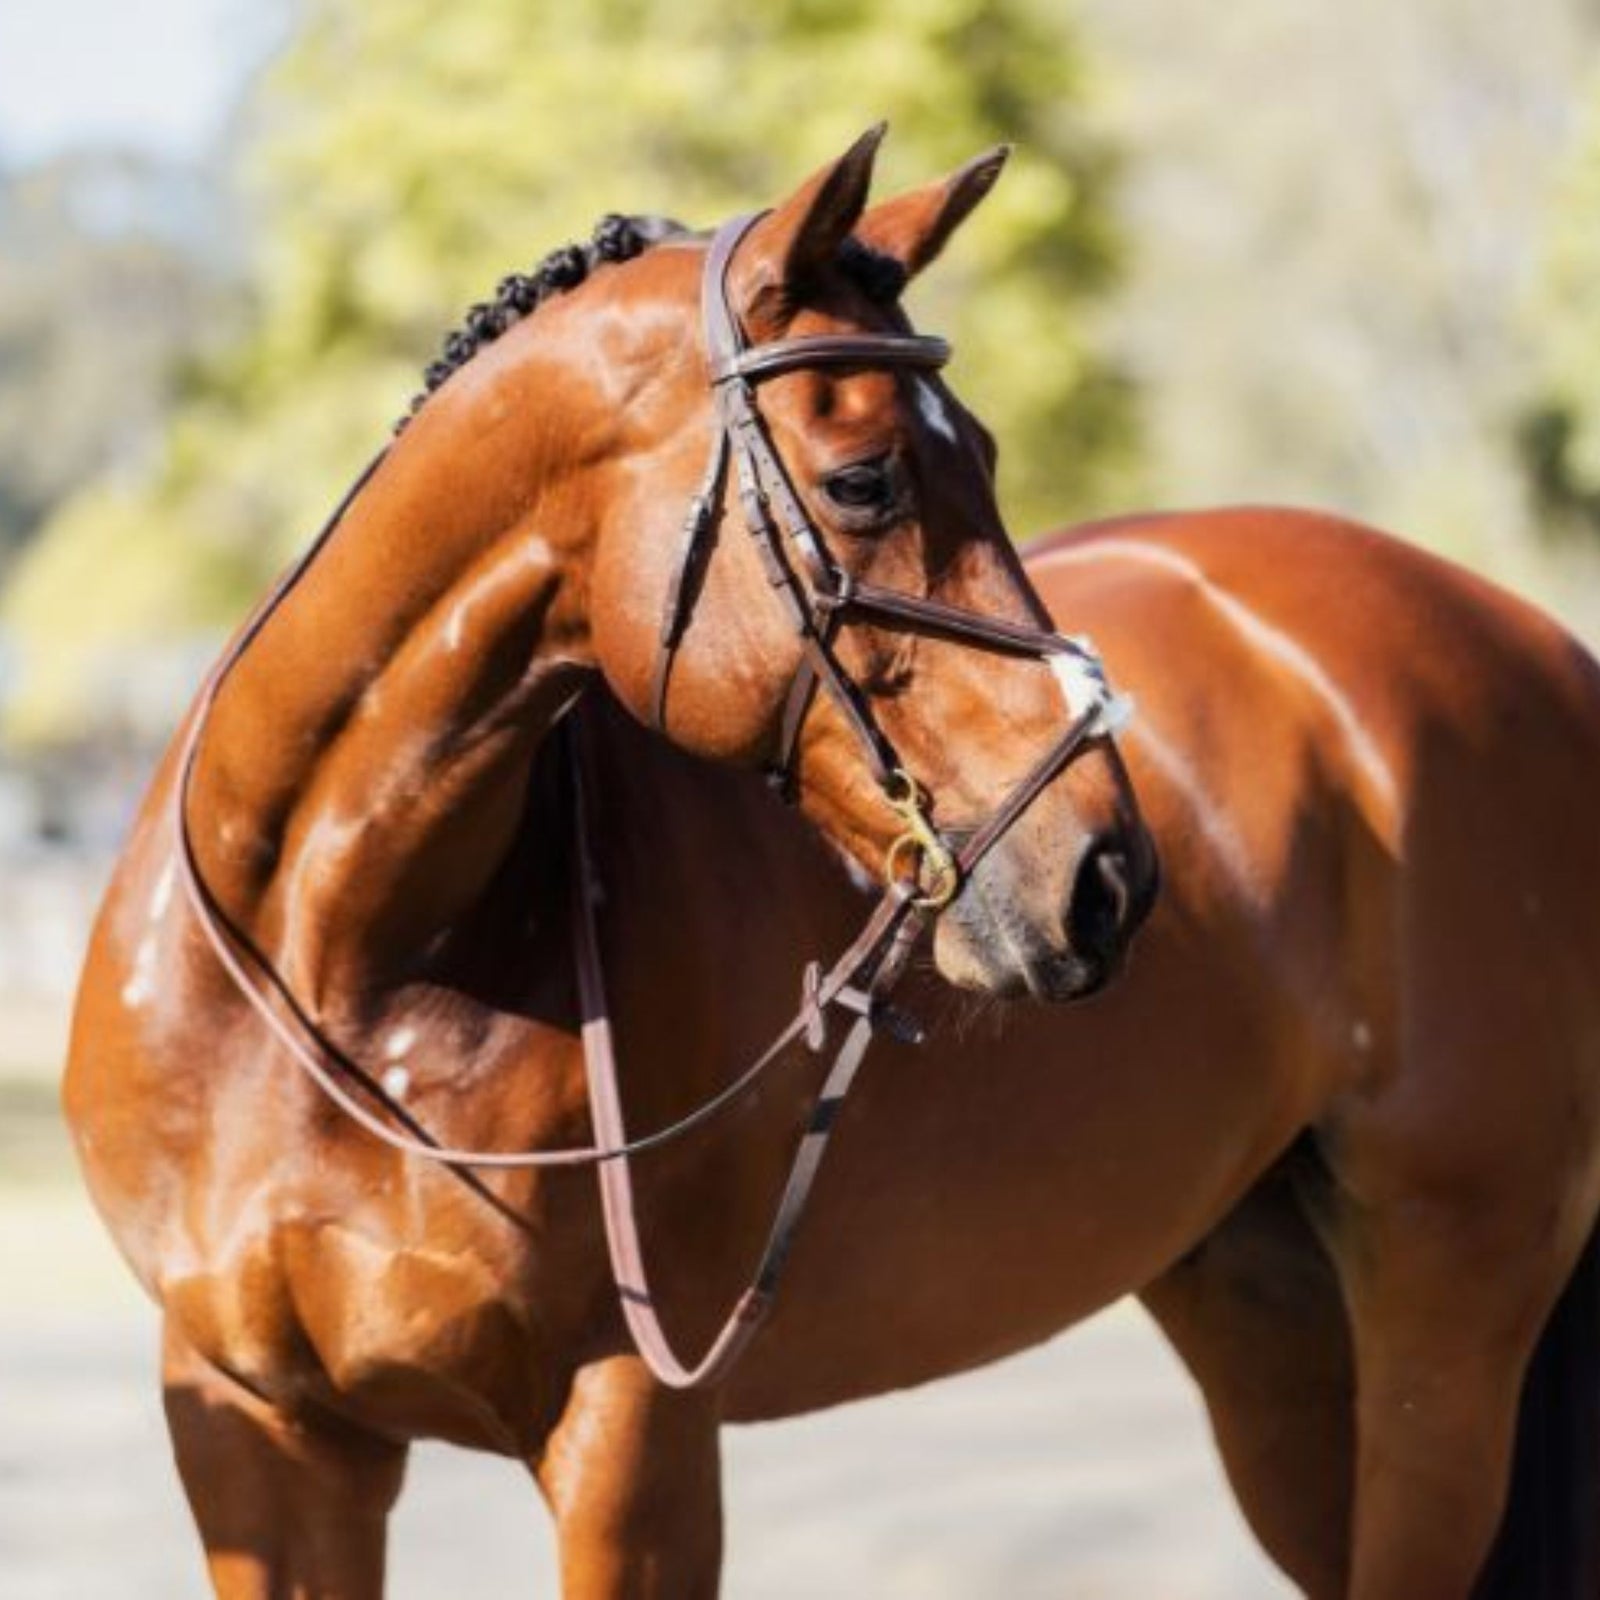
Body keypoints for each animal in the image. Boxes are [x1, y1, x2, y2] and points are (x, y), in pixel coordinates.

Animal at [62, 125, 1600, 1598]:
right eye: (864, 480)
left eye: (988, 452)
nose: (1107, 878)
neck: (335, 967)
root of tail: (1539, 647)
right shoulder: (263, 1435)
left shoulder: (629, 1435)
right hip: (1267, 1312)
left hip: (1449, 1301)